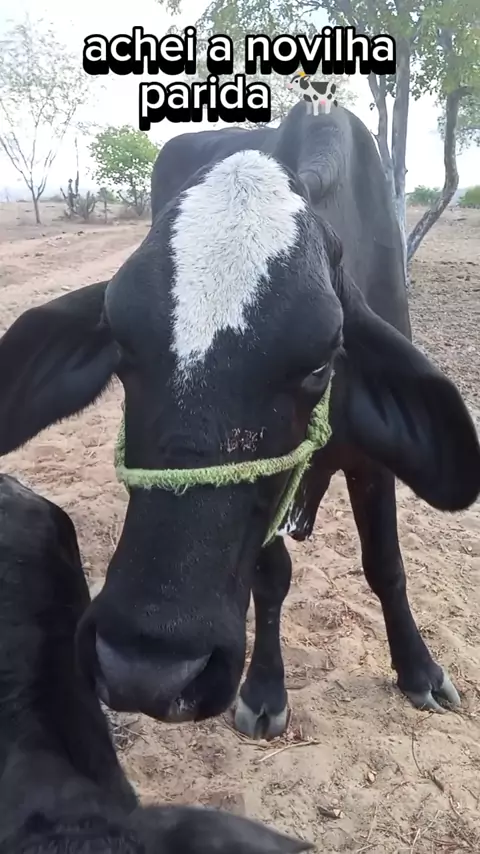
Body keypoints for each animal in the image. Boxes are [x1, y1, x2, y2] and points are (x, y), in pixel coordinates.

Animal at [0, 101, 478, 742]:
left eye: (322, 360)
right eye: (120, 343)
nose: (144, 669)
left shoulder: (371, 462)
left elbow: (385, 565)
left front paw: (418, 670)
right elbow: (270, 577)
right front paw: (266, 689)